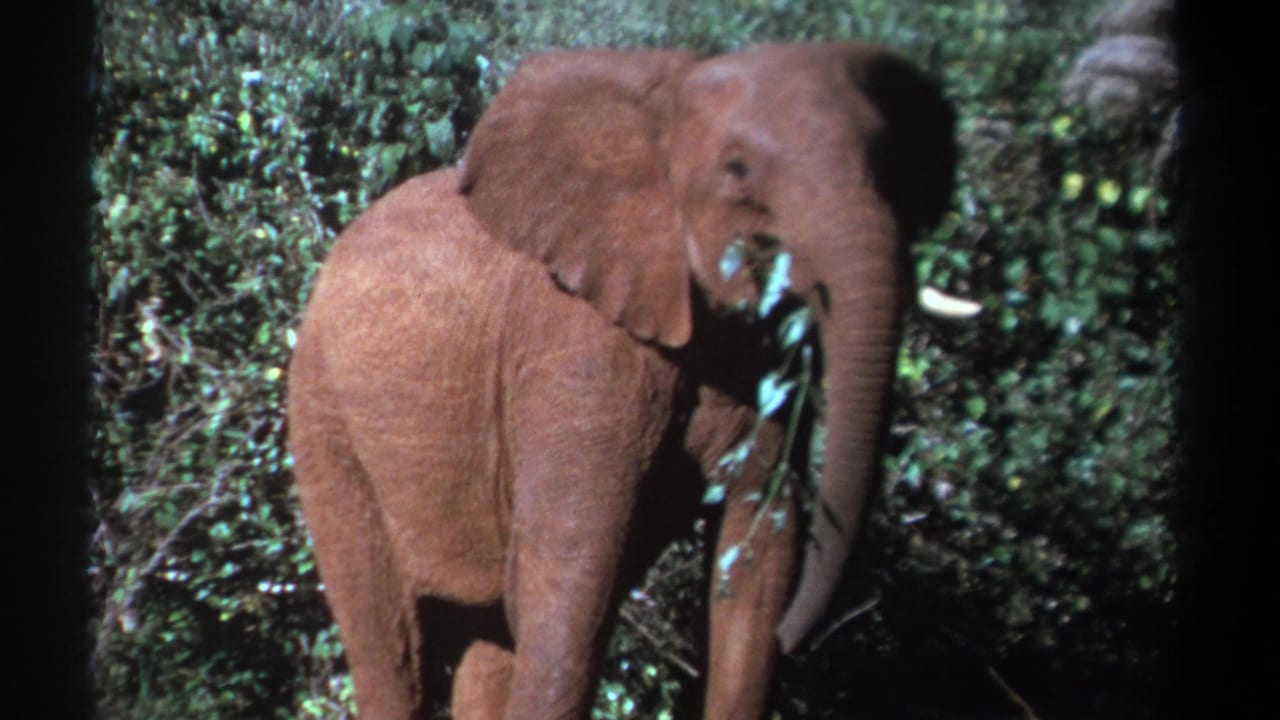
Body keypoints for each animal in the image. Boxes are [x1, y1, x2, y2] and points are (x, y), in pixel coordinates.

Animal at [287, 41, 956, 719]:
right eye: (737, 170)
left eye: (893, 168)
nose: (799, 639)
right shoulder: (576, 342)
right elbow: (571, 580)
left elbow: (761, 551)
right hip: (323, 418)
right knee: (393, 646)